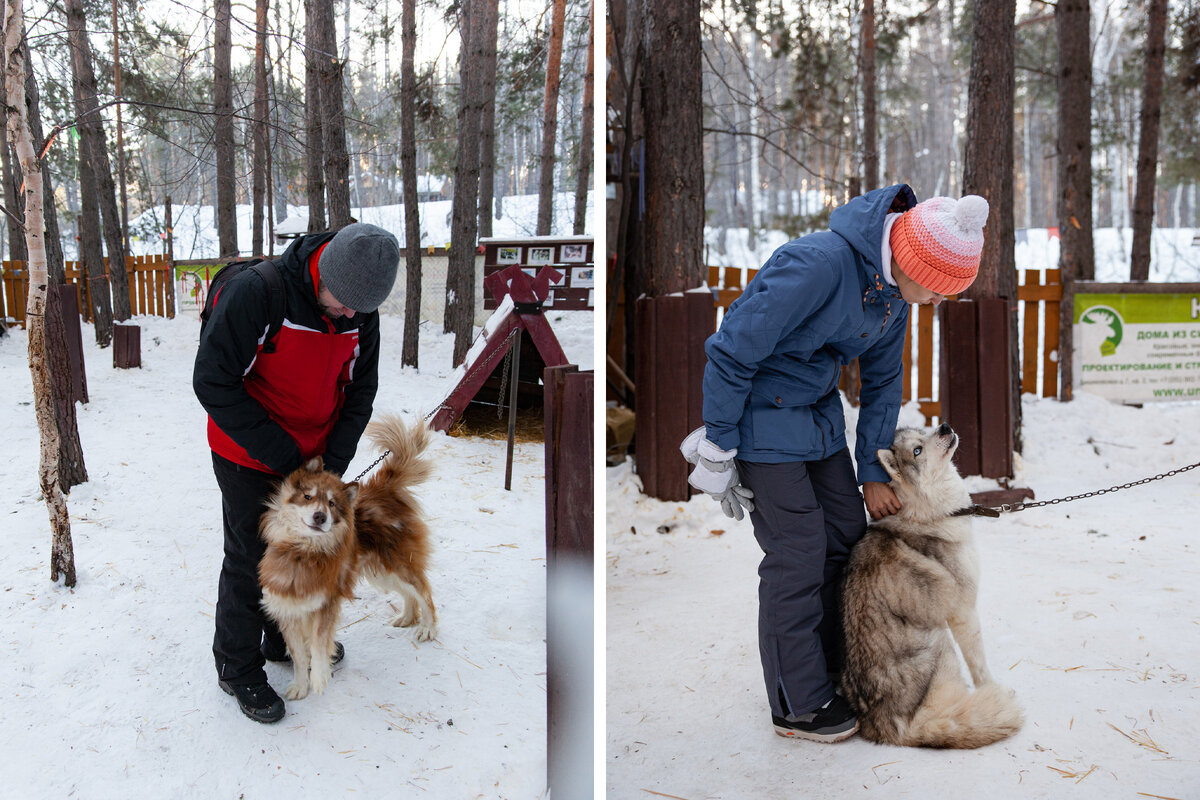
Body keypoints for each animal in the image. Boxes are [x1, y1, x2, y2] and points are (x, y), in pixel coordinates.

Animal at [258, 417, 436, 695]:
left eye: (332, 504)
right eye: (308, 496)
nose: (320, 516)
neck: (302, 551)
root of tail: (383, 488)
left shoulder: (326, 603)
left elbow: (318, 643)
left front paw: (319, 677)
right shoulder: (287, 609)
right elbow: (298, 655)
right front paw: (300, 685)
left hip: (399, 564)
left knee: (424, 592)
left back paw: (428, 628)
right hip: (381, 570)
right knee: (410, 594)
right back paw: (407, 617)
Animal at [844, 424, 1022, 753]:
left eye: (923, 432)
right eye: (917, 451)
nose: (944, 427)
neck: (927, 513)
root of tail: (893, 731)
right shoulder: (964, 612)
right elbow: (979, 665)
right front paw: (992, 688)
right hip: (940, 641)